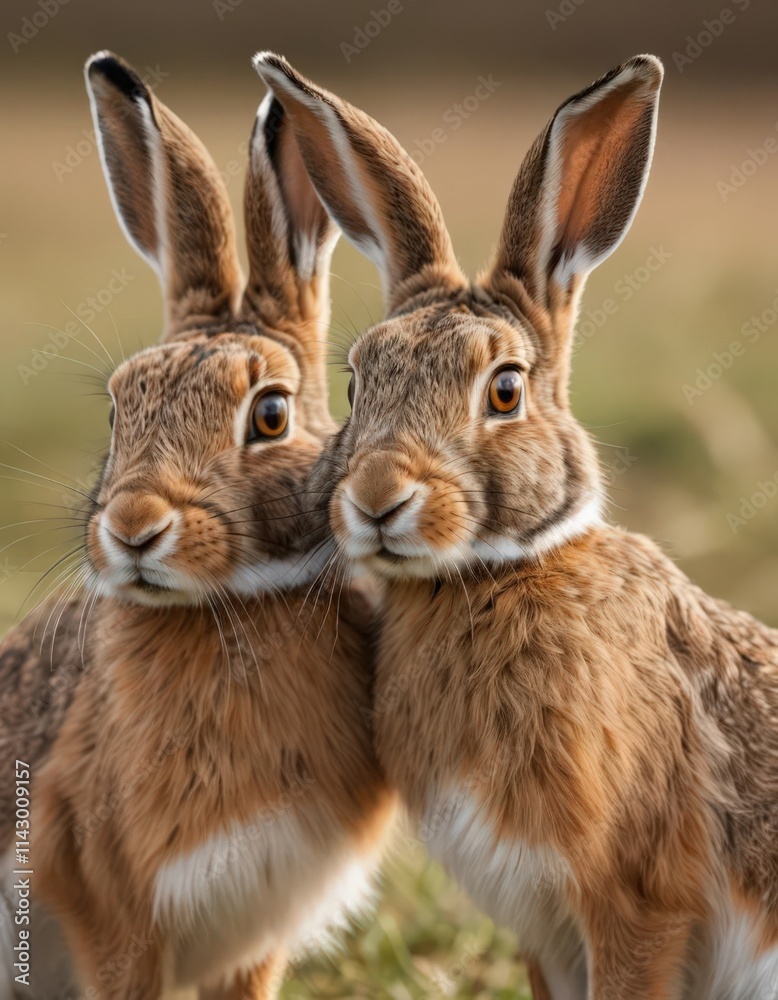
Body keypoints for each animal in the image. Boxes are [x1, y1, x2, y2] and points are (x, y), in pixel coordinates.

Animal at [0, 51, 396, 1000]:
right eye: (118, 411)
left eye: (271, 415)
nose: (134, 526)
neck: (230, 608)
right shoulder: (109, 911)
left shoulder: (255, 936)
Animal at [254, 51, 778, 999]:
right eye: (356, 382)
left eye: (504, 391)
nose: (377, 498)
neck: (496, 574)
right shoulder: (544, 925)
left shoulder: (635, 902)